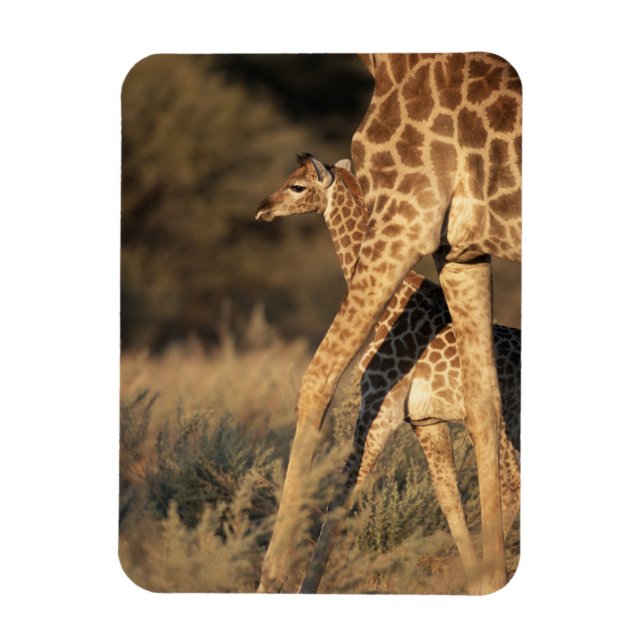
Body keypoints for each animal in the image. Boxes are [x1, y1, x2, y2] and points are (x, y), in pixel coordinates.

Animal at [257, 53, 521, 594]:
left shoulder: (378, 406)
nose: (263, 208)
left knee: (516, 485)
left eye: (297, 185)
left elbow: (344, 492)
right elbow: (448, 500)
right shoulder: (426, 420)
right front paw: (472, 578)